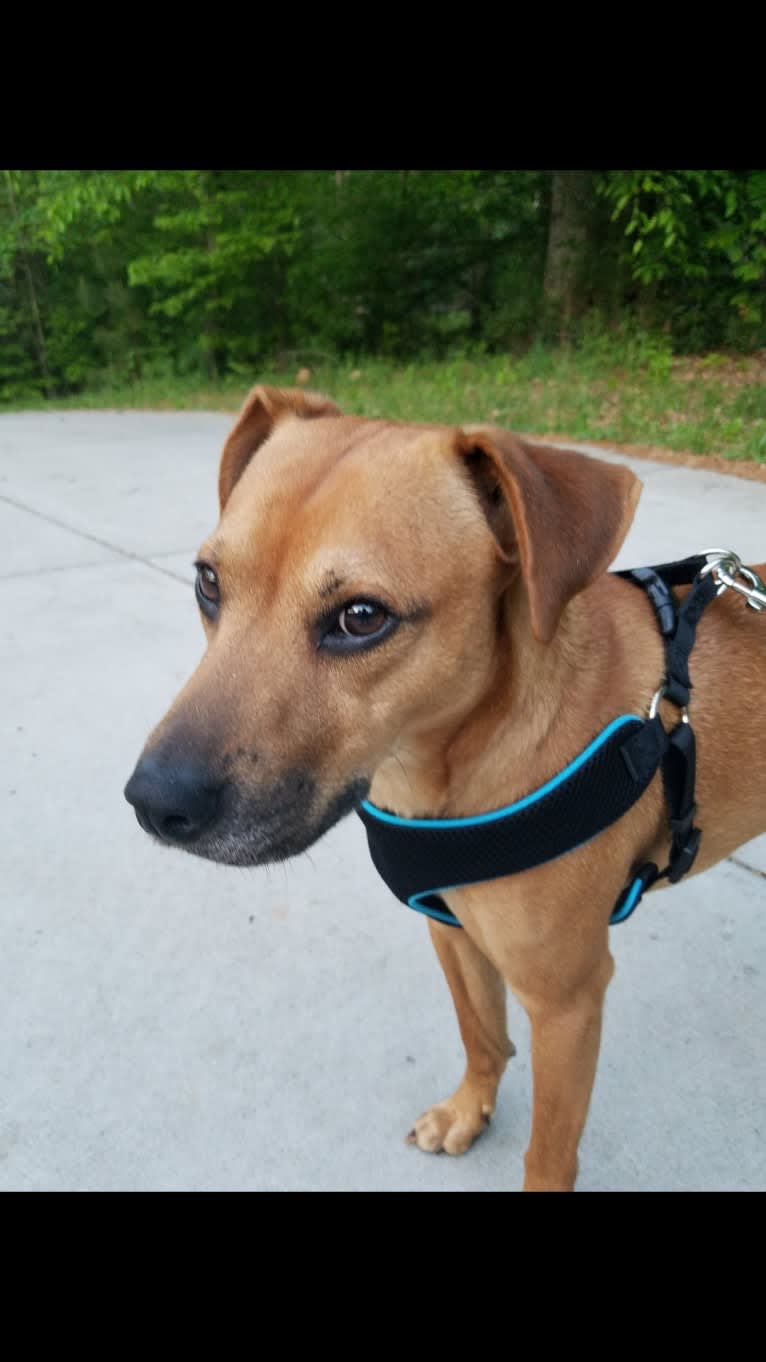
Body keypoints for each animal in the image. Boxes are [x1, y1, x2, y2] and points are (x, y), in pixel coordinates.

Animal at [121, 386, 757, 1193]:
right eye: (208, 581)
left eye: (362, 616)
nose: (153, 803)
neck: (447, 766)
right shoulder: (451, 929)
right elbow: (481, 1033)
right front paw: (469, 1111)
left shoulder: (568, 1000)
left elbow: (549, 1149)